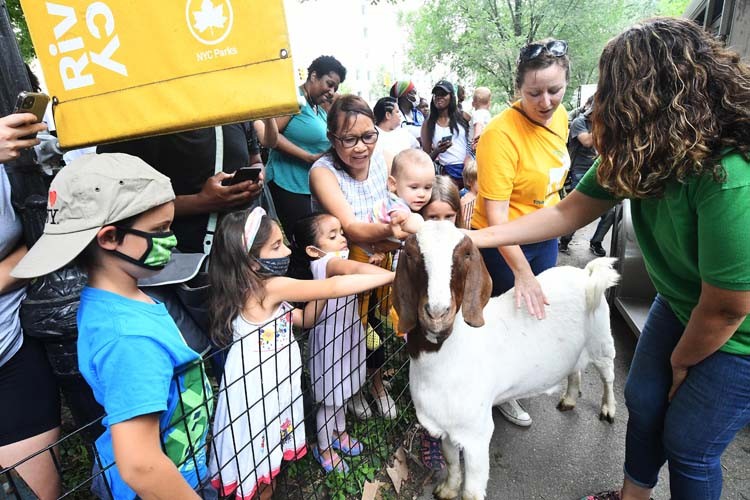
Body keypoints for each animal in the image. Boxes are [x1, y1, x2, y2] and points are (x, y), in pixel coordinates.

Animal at [396, 223, 620, 500]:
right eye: (411, 254)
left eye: (466, 255)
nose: (437, 313)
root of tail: (586, 275)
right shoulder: (447, 424)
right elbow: (450, 460)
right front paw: (447, 489)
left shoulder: (477, 432)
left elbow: (471, 491)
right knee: (574, 370)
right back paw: (569, 399)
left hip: (602, 340)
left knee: (608, 375)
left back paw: (608, 409)